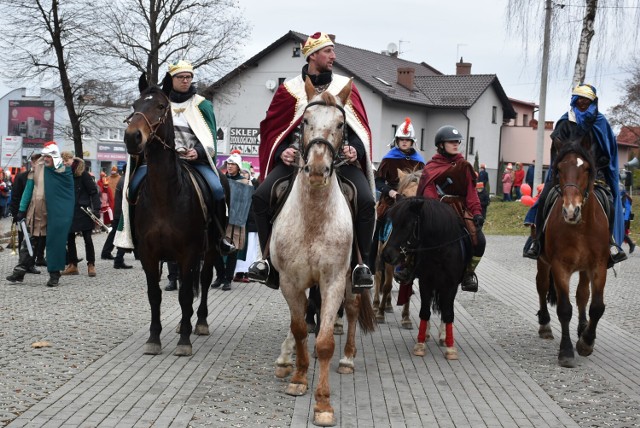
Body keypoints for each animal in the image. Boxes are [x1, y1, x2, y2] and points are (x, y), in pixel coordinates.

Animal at [272, 77, 380, 428]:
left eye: (341, 124)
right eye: (304, 121)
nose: (318, 170)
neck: (314, 217)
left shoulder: (332, 280)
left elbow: (324, 341)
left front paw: (322, 404)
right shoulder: (290, 281)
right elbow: (299, 327)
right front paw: (298, 377)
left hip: (351, 279)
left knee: (353, 310)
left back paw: (347, 359)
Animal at [372, 168, 422, 328]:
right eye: (404, 195)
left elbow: (407, 288)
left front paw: (406, 317)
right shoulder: (388, 259)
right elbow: (387, 285)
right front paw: (380, 314)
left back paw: (388, 305)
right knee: (379, 277)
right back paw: (376, 304)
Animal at [382, 199, 468, 360]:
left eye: (407, 225)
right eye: (392, 224)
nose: (387, 254)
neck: (440, 251)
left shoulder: (451, 285)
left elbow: (448, 313)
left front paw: (450, 348)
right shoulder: (425, 282)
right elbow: (424, 312)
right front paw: (420, 344)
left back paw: (443, 336)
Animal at [536, 137, 608, 368]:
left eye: (586, 168)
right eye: (559, 168)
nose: (570, 211)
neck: (581, 227)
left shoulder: (599, 266)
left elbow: (596, 306)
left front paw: (586, 342)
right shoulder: (560, 267)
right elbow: (564, 309)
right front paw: (566, 351)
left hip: (584, 269)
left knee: (582, 295)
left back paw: (583, 327)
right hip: (543, 262)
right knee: (542, 286)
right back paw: (545, 325)